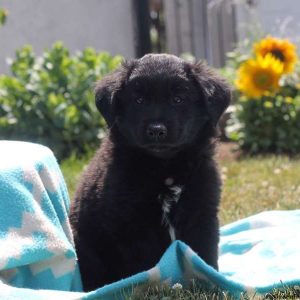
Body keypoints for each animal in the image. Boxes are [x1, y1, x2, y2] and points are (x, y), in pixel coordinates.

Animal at [69, 53, 230, 290]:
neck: (165, 169)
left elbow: (204, 253)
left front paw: (211, 282)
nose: (156, 130)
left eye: (178, 99)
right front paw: (152, 286)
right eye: (139, 100)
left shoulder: (202, 212)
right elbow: (148, 263)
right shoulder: (133, 224)